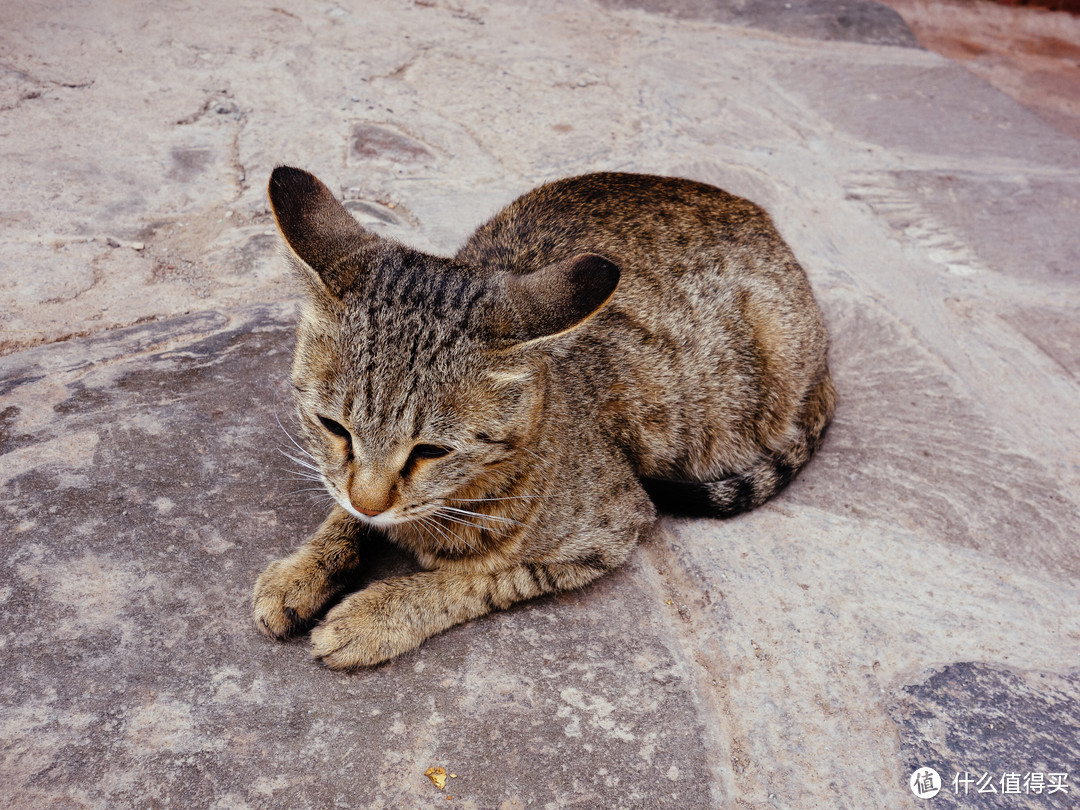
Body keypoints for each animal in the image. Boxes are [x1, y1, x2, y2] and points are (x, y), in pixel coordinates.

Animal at [252, 168, 833, 669]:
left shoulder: (609, 530)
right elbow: (341, 508)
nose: (371, 503)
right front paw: (299, 572)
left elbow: (477, 579)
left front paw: (375, 616)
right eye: (334, 427)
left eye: (431, 451)